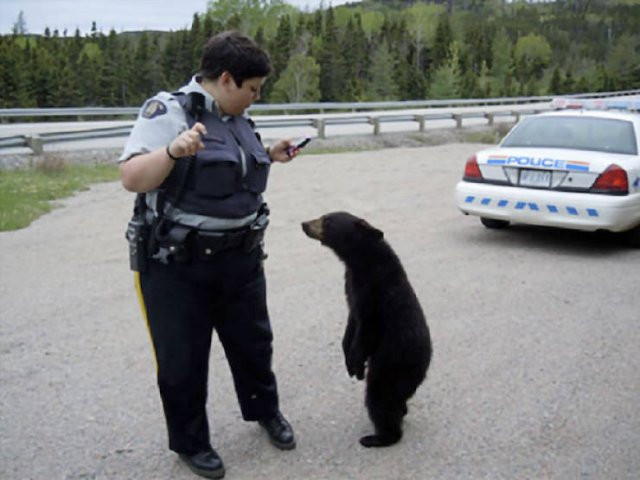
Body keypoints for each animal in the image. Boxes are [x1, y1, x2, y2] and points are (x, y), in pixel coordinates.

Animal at [301, 211, 432, 448]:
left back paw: (377, 437)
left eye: (327, 220)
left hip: (391, 364)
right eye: (323, 216)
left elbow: (367, 328)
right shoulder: (351, 286)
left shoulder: (374, 292)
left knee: (380, 396)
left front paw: (354, 363)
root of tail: (424, 369)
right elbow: (352, 320)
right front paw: (348, 358)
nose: (304, 224)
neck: (361, 261)